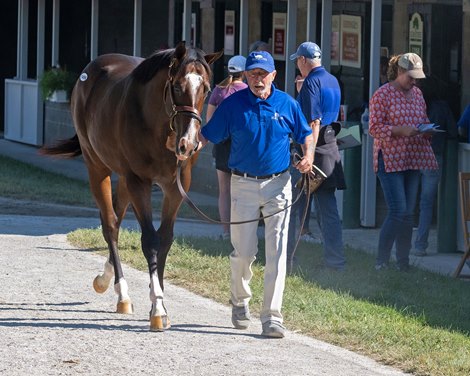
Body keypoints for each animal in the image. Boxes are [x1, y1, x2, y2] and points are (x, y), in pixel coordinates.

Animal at [41, 42, 223, 330]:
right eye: (177, 85)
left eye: (205, 87)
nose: (189, 143)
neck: (159, 125)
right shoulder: (140, 182)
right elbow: (149, 240)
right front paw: (157, 308)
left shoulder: (176, 186)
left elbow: (165, 239)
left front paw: (159, 304)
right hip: (98, 168)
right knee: (110, 225)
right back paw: (121, 293)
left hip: (124, 179)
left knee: (115, 218)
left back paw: (107, 279)